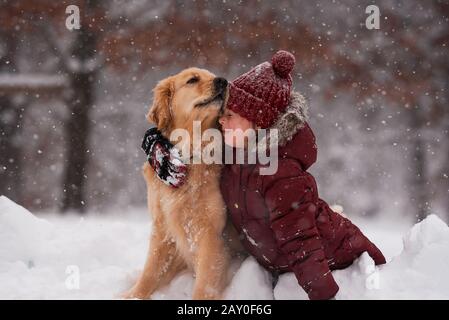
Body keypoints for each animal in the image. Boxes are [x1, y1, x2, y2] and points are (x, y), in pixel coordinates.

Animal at [122, 67, 233, 300]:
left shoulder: (210, 233)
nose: (223, 81)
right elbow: (150, 270)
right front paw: (132, 295)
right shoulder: (162, 225)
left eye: (213, 76)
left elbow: (205, 283)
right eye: (192, 80)